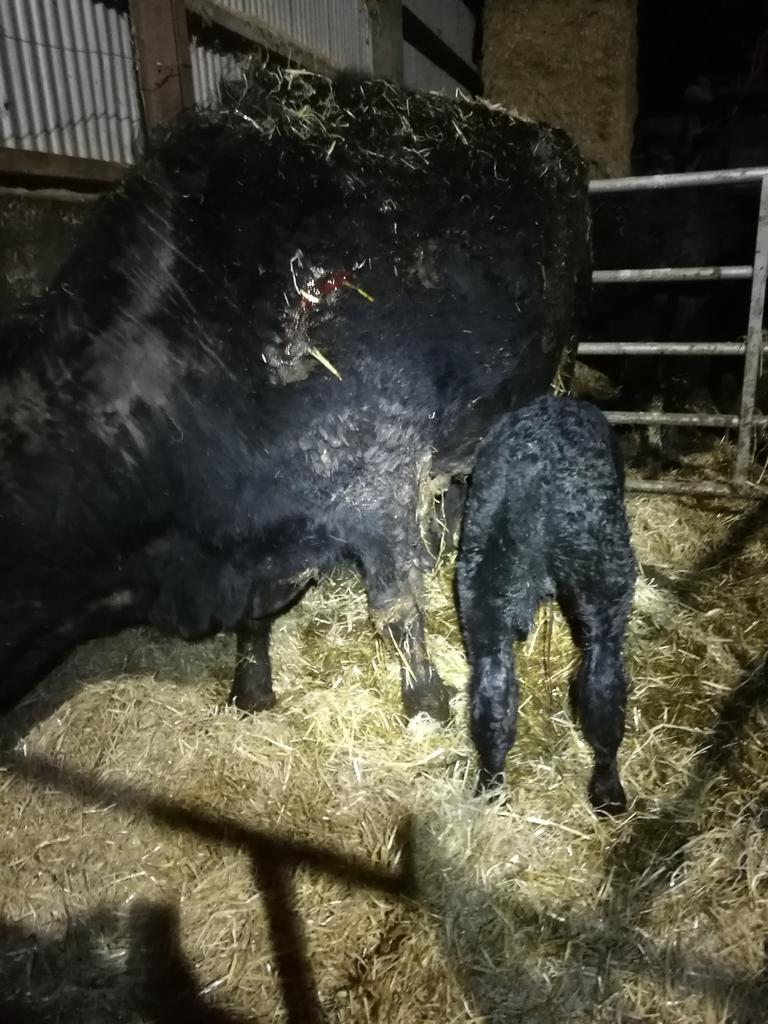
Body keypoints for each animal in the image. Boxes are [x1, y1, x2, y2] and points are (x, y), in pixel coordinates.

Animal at [0, 64, 591, 723]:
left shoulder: (376, 475)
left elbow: (396, 604)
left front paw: (427, 703)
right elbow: (260, 614)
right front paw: (251, 686)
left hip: (558, 359)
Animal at [456, 396, 636, 814]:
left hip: (483, 585)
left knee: (494, 690)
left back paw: (491, 786)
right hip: (606, 574)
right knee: (604, 682)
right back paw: (607, 787)